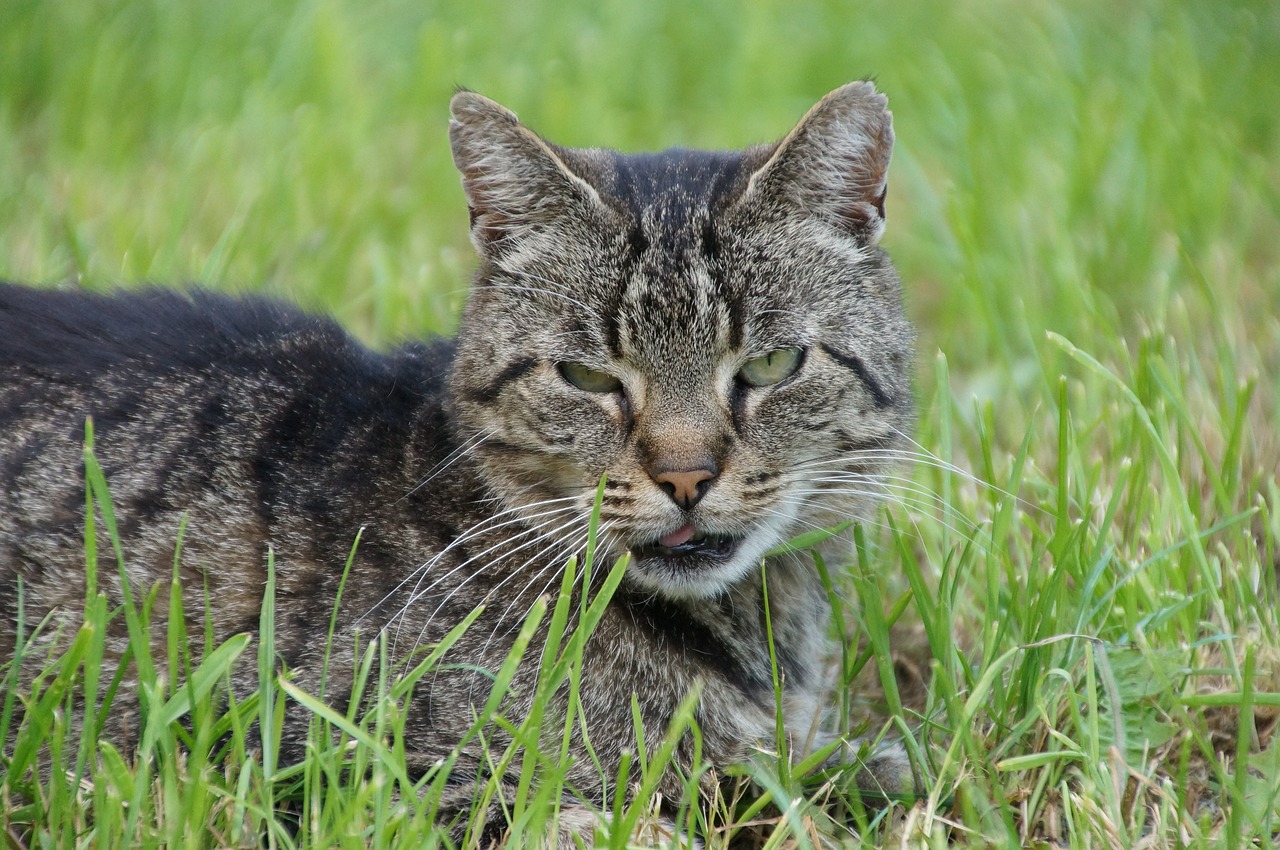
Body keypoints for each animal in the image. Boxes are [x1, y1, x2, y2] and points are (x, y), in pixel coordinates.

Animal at [0, 81, 921, 844]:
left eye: (768, 366)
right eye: (588, 378)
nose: (686, 477)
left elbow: (852, 769)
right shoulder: (322, 773)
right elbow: (593, 813)